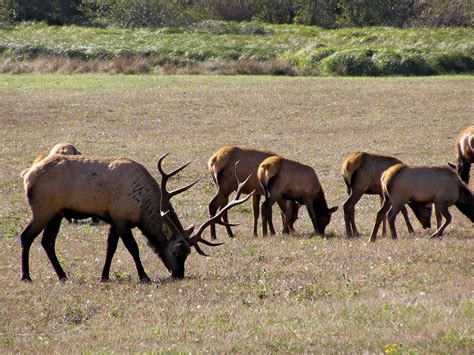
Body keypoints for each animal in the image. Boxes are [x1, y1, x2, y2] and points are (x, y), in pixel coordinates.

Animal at [19, 154, 254, 282]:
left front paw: (104, 276)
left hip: (56, 214)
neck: (142, 207)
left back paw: (63, 276)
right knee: (26, 236)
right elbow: (133, 248)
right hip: (42, 210)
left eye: (188, 253)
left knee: (47, 242)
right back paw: (26, 276)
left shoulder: (113, 218)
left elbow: (110, 248)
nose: (178, 274)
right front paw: (144, 276)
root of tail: (27, 176)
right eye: (176, 251)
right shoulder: (122, 219)